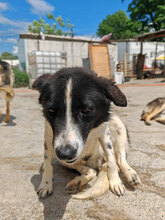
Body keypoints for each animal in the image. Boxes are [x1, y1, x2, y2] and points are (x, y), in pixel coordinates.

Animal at [33, 67, 141, 199]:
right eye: (51, 111)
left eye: (85, 110)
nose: (65, 153)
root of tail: (99, 161)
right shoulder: (49, 136)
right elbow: (47, 163)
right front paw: (46, 184)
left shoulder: (104, 132)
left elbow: (112, 161)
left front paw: (115, 182)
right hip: (62, 159)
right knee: (92, 171)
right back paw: (77, 182)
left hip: (117, 123)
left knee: (119, 158)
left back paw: (130, 173)